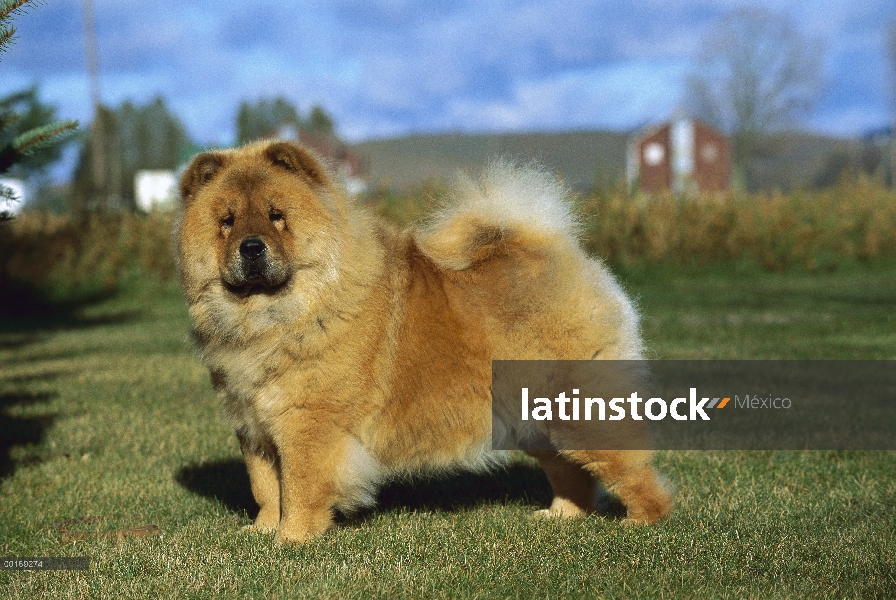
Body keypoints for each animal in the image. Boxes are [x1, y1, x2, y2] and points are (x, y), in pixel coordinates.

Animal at [175, 139, 672, 544]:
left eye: (277, 217)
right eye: (226, 222)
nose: (251, 247)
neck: (273, 318)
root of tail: (558, 253)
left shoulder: (308, 424)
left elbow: (300, 487)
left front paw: (290, 541)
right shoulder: (253, 425)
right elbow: (265, 487)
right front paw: (260, 533)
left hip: (578, 413)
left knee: (633, 471)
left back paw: (640, 523)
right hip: (531, 419)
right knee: (571, 473)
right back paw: (561, 516)